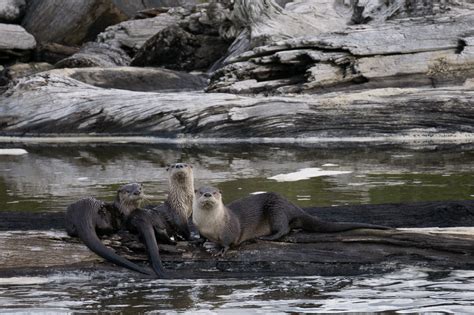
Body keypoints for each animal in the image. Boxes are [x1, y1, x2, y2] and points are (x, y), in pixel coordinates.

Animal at [193, 186, 388, 256]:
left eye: (215, 192)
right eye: (200, 191)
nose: (208, 194)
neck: (210, 225)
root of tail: (292, 205)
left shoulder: (229, 229)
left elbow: (228, 242)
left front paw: (221, 250)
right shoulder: (200, 227)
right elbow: (201, 237)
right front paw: (198, 242)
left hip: (276, 210)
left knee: (283, 230)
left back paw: (264, 238)